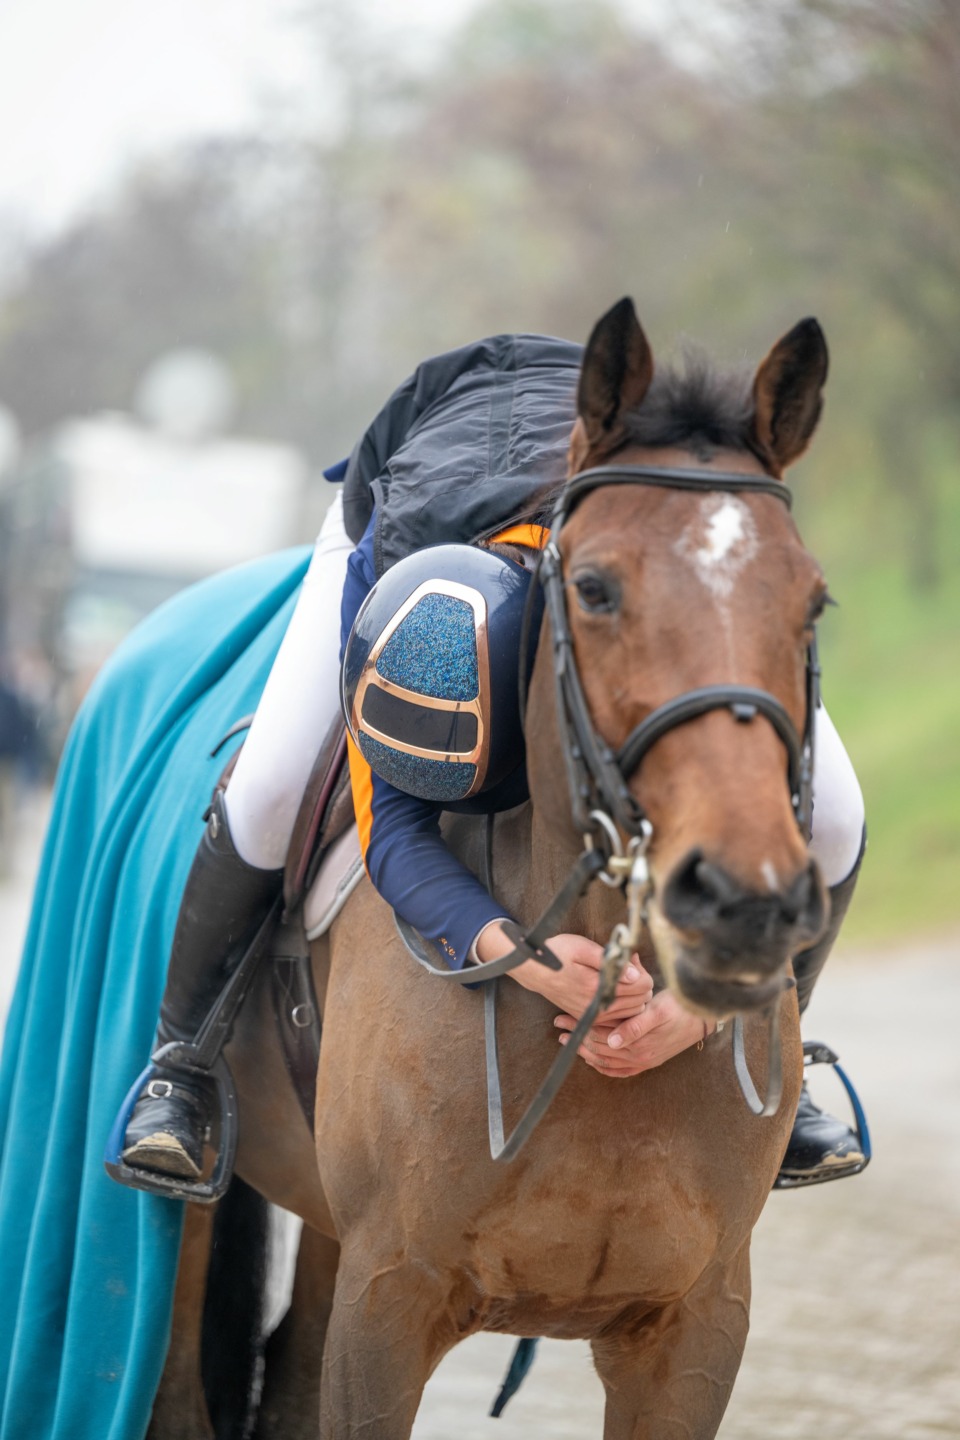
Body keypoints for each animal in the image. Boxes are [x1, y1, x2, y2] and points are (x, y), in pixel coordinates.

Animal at [151, 295, 834, 1440]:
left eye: (811, 602)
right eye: (595, 590)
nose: (741, 904)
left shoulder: (695, 1328)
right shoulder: (389, 1305)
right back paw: (169, 1111)